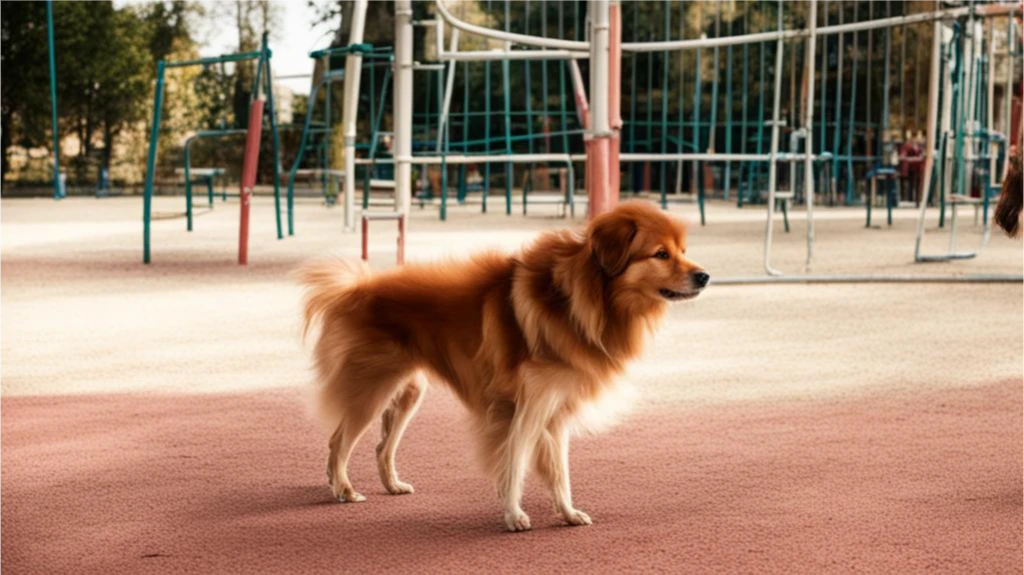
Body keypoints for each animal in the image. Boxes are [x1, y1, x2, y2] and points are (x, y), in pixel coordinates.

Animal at [299, 200, 708, 527]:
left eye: (683, 250)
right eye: (660, 254)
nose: (704, 276)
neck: (579, 300)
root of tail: (357, 289)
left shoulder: (554, 412)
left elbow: (559, 472)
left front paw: (567, 513)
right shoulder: (524, 409)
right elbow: (514, 464)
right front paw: (513, 515)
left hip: (408, 393)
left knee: (382, 448)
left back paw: (390, 485)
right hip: (371, 389)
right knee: (339, 441)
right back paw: (344, 489)